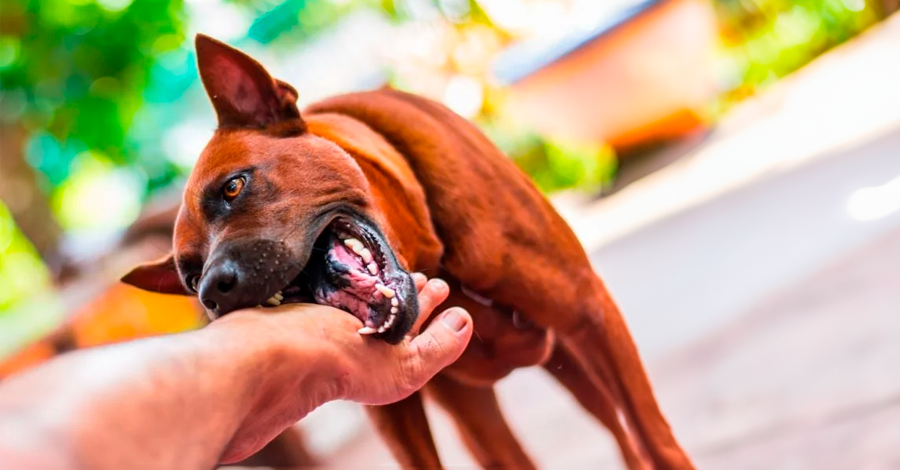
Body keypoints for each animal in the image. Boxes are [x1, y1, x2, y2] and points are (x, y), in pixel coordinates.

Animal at [123, 35, 692, 470]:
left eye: (233, 187)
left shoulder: (591, 318)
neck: (432, 256)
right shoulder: (421, 411)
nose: (213, 291)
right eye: (188, 276)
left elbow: (654, 439)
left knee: (624, 433)